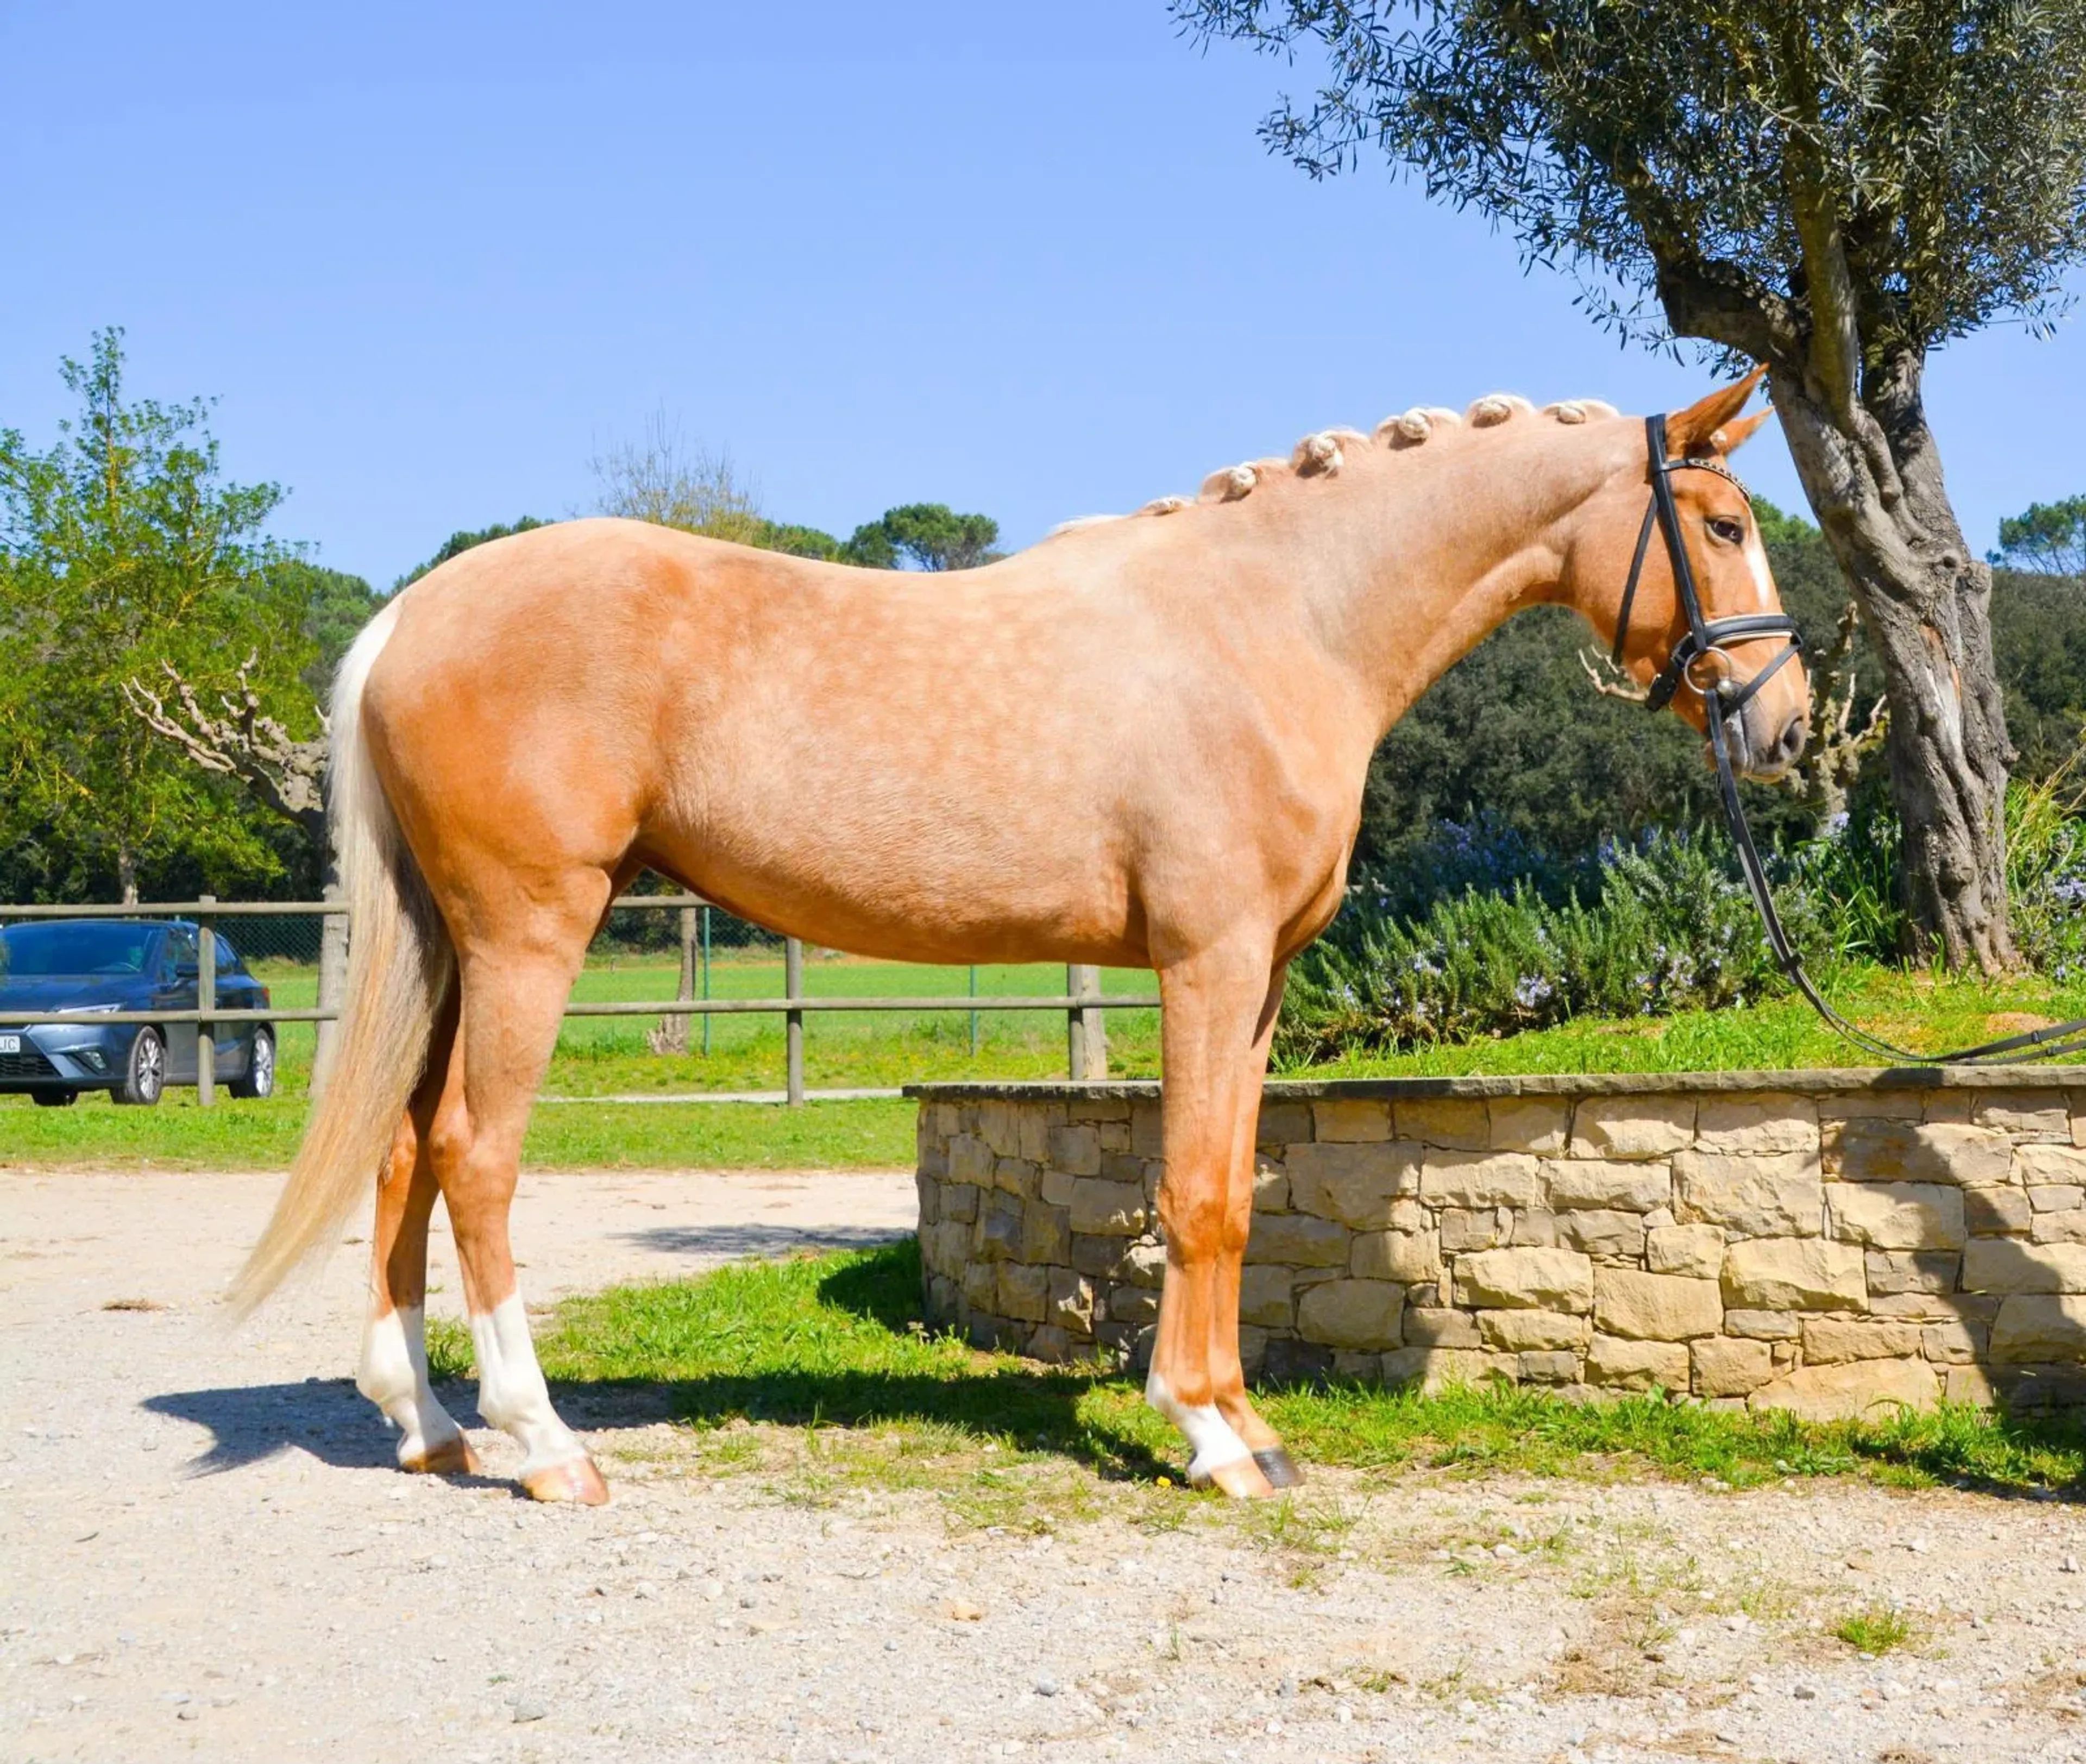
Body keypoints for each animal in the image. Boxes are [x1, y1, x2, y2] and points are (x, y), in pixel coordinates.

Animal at [231, 370, 1809, 1503]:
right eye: (1724, 526)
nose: (1785, 727)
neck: (1278, 617)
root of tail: (412, 615)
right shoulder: (1206, 959)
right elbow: (1198, 1193)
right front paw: (1209, 1437)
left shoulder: (1259, 980)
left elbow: (1233, 1185)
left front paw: (1246, 1420)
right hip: (529, 934)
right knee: (474, 1152)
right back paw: (542, 1442)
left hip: (454, 945)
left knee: (401, 1149)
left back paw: (427, 1422)